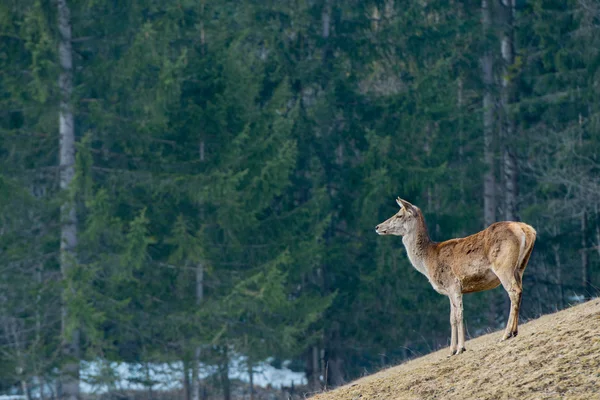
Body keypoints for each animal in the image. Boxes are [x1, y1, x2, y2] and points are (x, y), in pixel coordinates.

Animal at [372, 197, 536, 356]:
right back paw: (514, 331)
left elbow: (458, 315)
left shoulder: (453, 284)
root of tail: (527, 229)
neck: (428, 261)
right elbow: (451, 318)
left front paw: (460, 348)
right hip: (520, 267)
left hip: (503, 266)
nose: (377, 227)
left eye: (399, 215)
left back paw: (506, 334)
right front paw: (451, 351)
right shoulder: (449, 291)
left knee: (513, 291)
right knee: (519, 290)